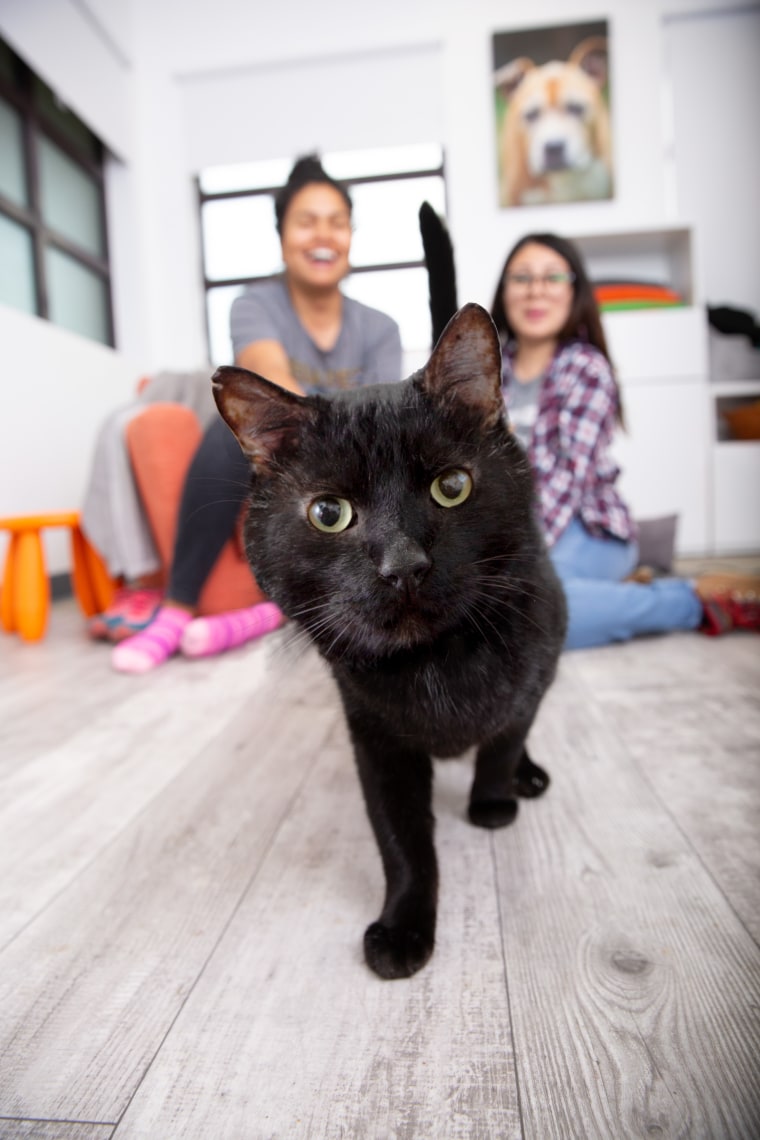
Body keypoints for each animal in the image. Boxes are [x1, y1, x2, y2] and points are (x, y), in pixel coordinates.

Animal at [210, 303, 567, 980]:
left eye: (452, 486)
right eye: (329, 513)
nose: (404, 566)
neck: (438, 662)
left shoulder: (539, 664)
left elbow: (504, 740)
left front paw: (491, 803)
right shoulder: (375, 737)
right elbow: (401, 841)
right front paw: (403, 929)